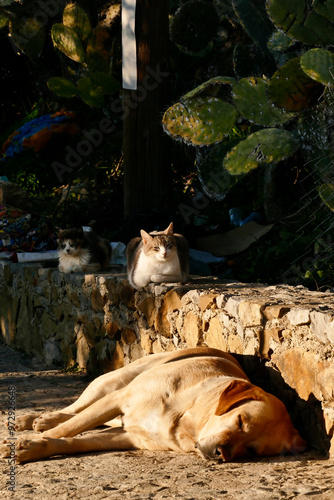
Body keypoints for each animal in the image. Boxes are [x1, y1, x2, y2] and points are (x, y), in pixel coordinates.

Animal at [1, 348, 306, 460]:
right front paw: (28, 441)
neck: (183, 423)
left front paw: (33, 448)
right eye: (241, 420)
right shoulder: (120, 398)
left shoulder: (129, 437)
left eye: (251, 450)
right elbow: (69, 429)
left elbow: (76, 441)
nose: (222, 453)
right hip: (109, 383)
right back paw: (36, 419)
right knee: (75, 409)